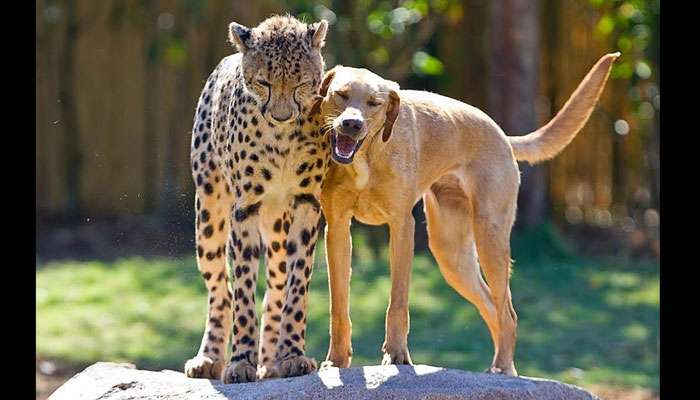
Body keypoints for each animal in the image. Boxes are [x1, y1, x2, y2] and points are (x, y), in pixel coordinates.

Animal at [185, 16, 330, 384]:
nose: (281, 116)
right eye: (263, 82)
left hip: (278, 226)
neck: (281, 138)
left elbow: (296, 287)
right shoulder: (245, 207)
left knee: (276, 288)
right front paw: (240, 361)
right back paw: (210, 357)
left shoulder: (306, 204)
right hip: (209, 215)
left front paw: (291, 355)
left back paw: (270, 362)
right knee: (220, 291)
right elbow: (243, 291)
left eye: (301, 84)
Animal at [316, 53, 616, 376]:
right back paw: (505, 369)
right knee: (492, 308)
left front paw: (396, 355)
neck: (366, 159)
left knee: (507, 312)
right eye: (341, 94)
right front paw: (337, 360)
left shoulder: (401, 227)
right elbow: (338, 307)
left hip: (489, 239)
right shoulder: (337, 230)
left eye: (374, 102)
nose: (351, 124)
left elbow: (398, 303)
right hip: (453, 256)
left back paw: (501, 367)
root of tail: (501, 135)